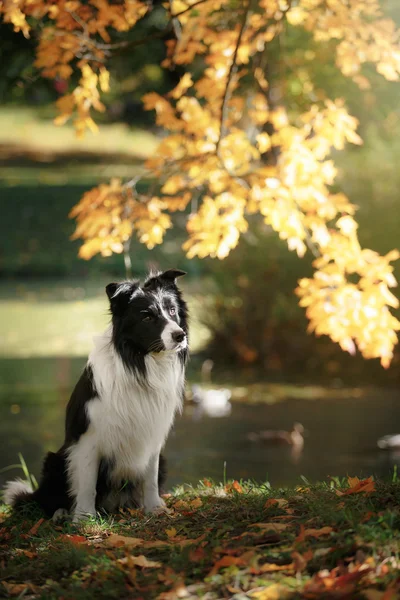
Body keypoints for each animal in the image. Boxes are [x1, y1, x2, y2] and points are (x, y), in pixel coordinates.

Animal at [3, 270, 188, 524]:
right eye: (147, 317)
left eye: (171, 311)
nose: (180, 335)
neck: (138, 364)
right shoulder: (89, 438)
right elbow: (87, 482)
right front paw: (83, 518)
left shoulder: (153, 434)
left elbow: (149, 478)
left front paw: (154, 508)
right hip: (55, 459)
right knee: (47, 499)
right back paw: (61, 513)